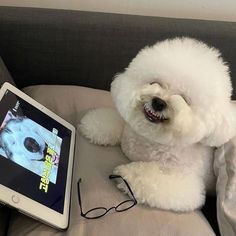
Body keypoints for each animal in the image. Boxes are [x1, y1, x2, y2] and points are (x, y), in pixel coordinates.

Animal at [79, 38, 236, 212]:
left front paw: (125, 175)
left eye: (184, 99)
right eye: (154, 82)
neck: (151, 139)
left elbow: (148, 178)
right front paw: (93, 124)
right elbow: (115, 122)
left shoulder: (185, 185)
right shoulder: (129, 129)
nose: (159, 102)